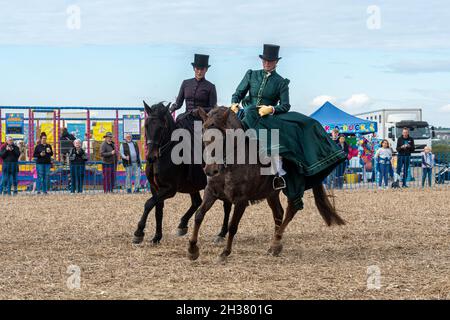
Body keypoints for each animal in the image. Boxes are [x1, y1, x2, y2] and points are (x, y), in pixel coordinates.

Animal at [129, 102, 229, 245]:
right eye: (146, 125)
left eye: (161, 127)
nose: (151, 157)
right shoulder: (156, 188)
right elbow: (157, 209)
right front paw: (157, 236)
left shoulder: (170, 189)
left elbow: (148, 204)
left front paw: (139, 232)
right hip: (193, 186)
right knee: (197, 202)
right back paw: (183, 224)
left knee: (226, 206)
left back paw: (221, 233)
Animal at [186, 106, 344, 262]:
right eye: (203, 135)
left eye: (224, 137)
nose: (210, 170)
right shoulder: (211, 192)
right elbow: (199, 215)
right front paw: (192, 249)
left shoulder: (241, 200)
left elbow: (233, 226)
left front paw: (225, 252)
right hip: (271, 193)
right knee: (279, 213)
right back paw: (275, 245)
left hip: (294, 186)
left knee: (292, 210)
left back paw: (275, 243)